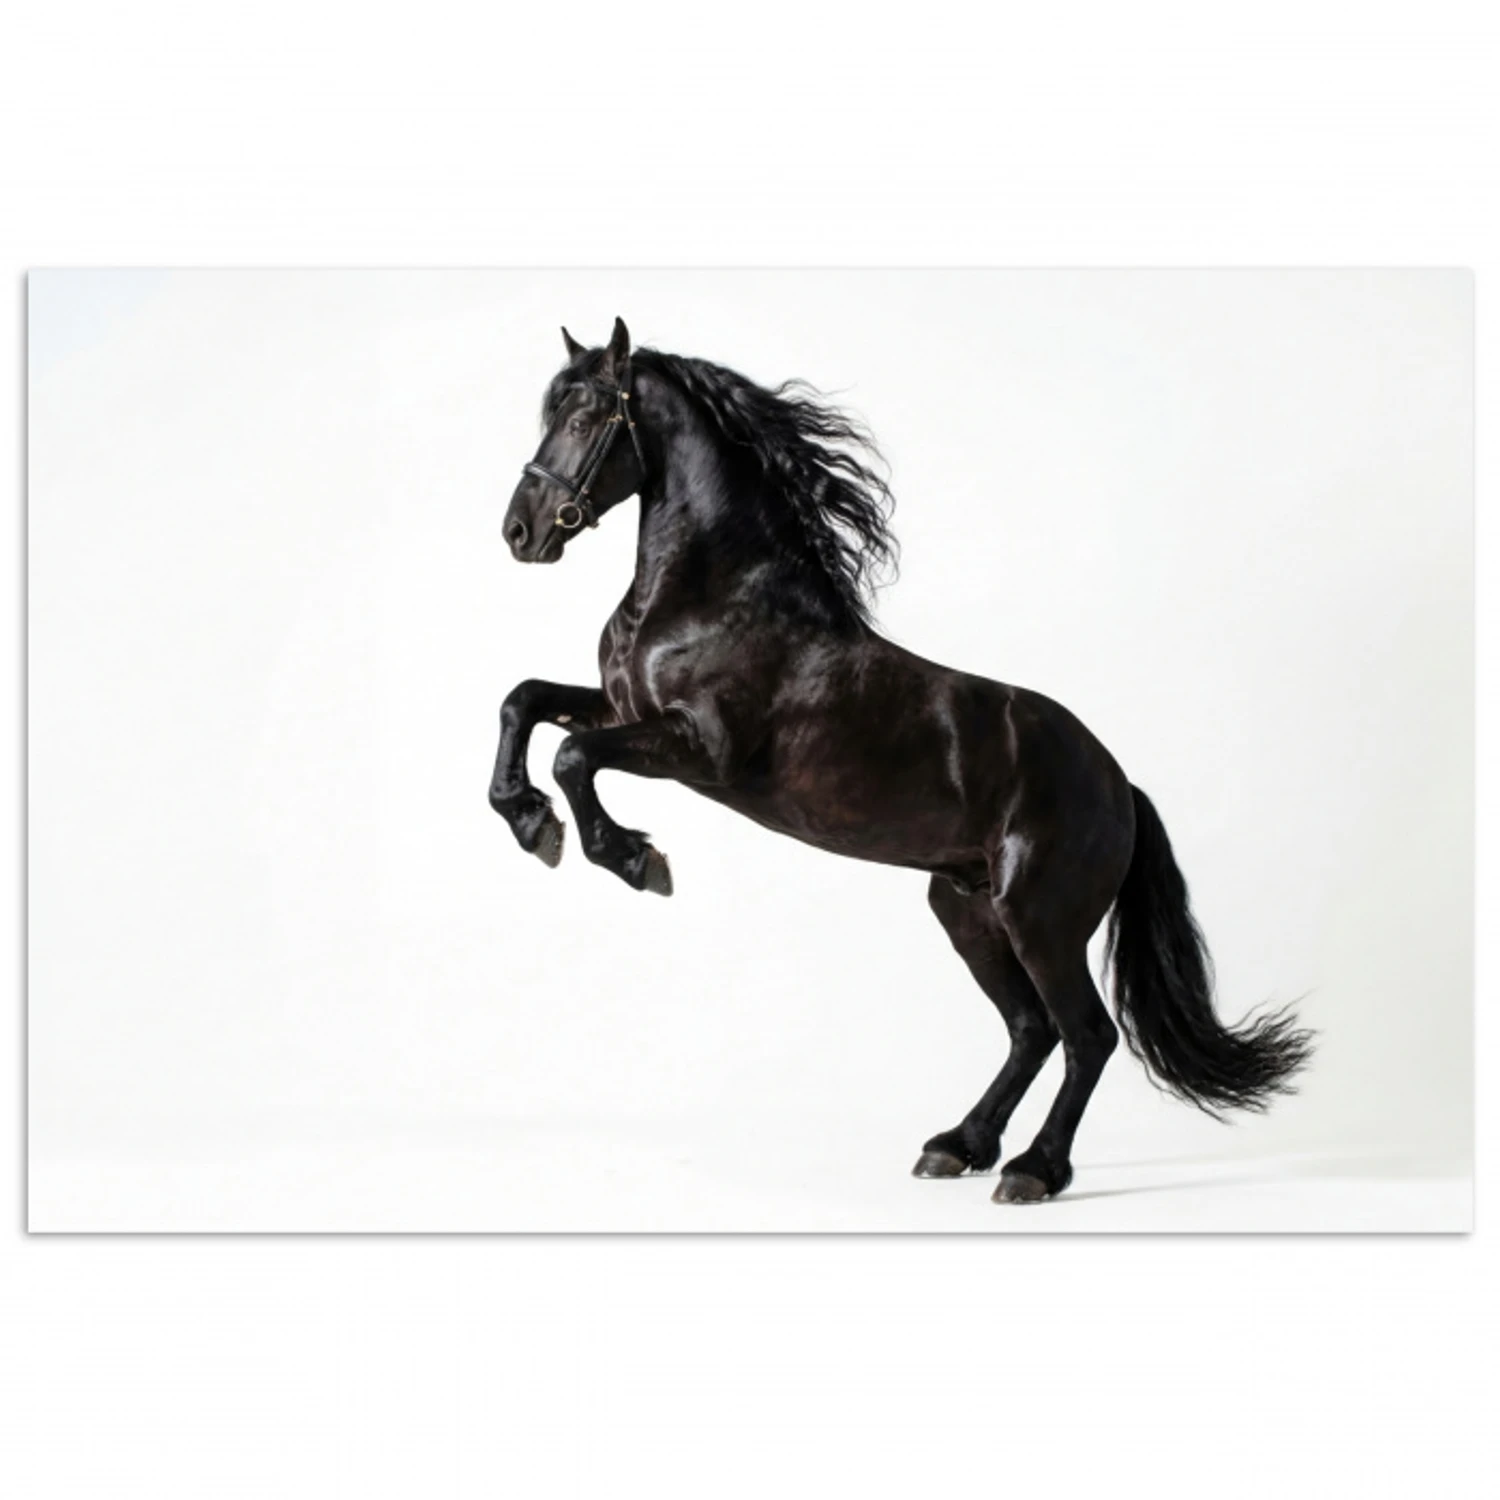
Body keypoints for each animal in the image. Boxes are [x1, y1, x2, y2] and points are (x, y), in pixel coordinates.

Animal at [489, 318, 1312, 1204]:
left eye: (584, 418)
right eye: (551, 411)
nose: (520, 532)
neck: (711, 598)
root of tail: (1120, 785)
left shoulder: (699, 749)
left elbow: (573, 754)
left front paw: (633, 859)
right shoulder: (623, 710)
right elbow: (524, 702)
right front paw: (530, 822)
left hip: (1042, 918)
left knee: (1086, 1034)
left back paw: (1033, 1170)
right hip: (967, 910)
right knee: (1030, 1030)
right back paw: (957, 1146)